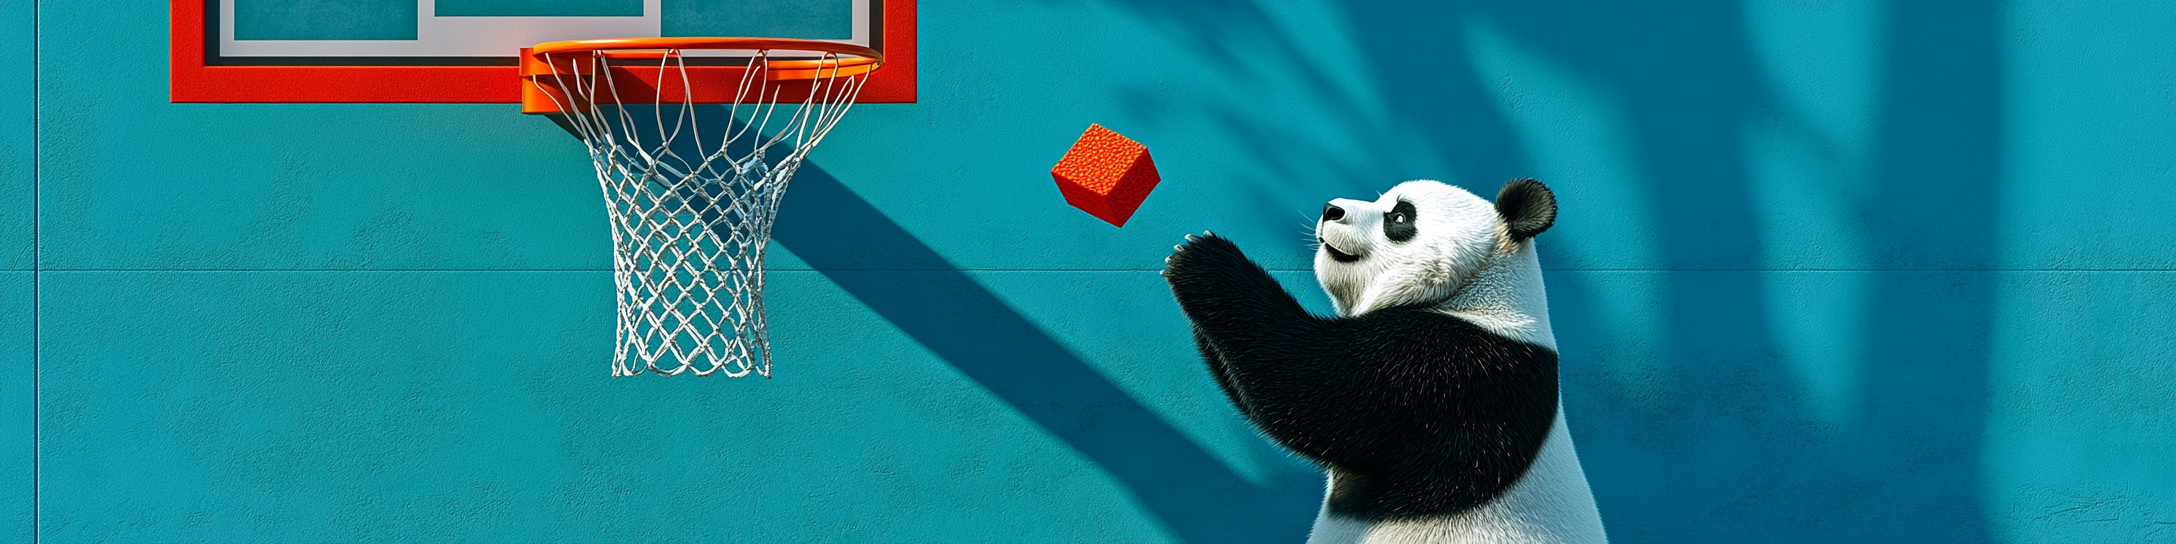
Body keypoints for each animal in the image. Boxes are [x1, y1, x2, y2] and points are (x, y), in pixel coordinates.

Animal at [1166, 179, 1610, 544]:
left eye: (1399, 217)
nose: (1331, 209)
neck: (1479, 291)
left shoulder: (1461, 371)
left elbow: (1318, 391)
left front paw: (1201, 258)